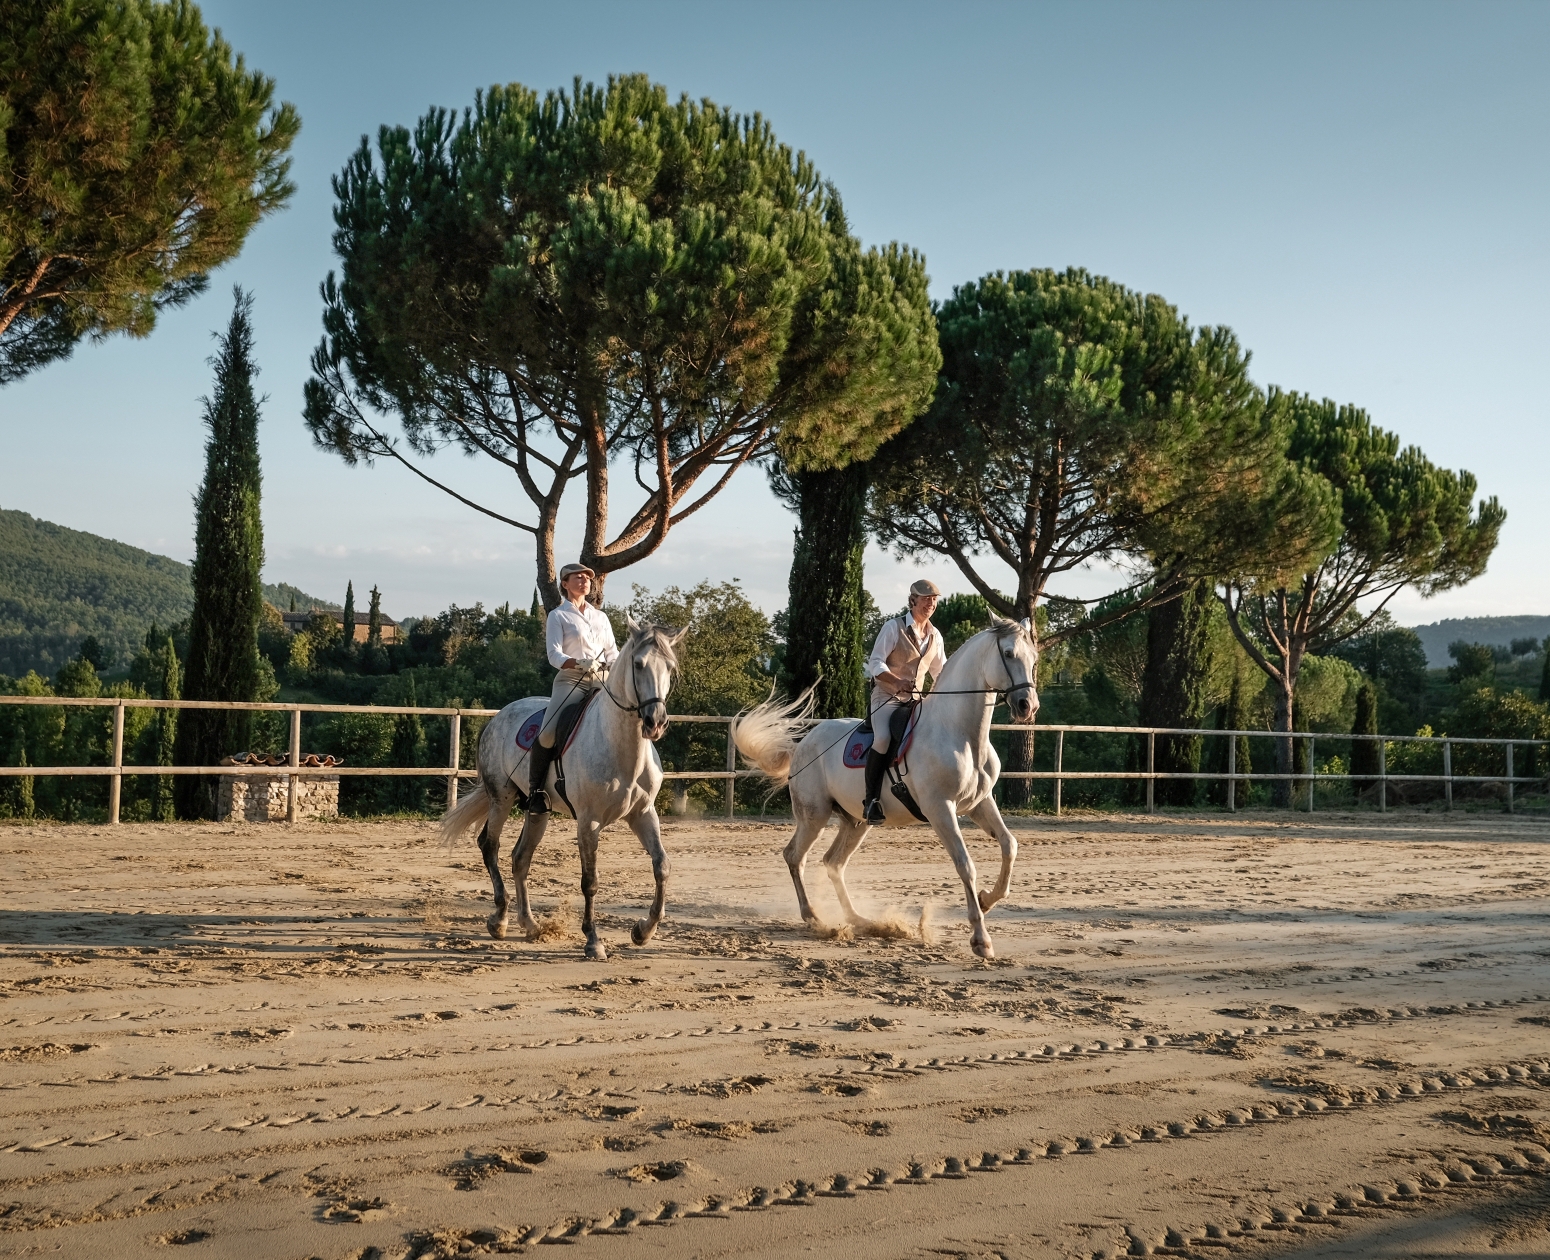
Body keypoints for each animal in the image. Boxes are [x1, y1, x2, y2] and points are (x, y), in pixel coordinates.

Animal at [437, 616, 686, 960]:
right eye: (638, 664)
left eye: (670, 668)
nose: (655, 722)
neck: (620, 744)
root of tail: (499, 716)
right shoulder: (588, 821)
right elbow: (590, 881)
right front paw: (593, 941)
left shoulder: (643, 813)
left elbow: (662, 866)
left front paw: (643, 931)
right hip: (501, 798)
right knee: (490, 845)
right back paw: (499, 919)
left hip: (537, 811)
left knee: (520, 857)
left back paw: (530, 925)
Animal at [731, 616, 1039, 959]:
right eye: (1009, 653)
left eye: (1034, 658)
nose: (1027, 706)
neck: (960, 734)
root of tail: (803, 744)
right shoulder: (940, 809)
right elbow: (965, 864)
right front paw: (981, 939)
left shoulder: (979, 803)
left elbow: (1010, 845)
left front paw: (987, 899)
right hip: (814, 816)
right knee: (795, 856)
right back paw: (812, 916)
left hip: (856, 822)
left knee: (833, 862)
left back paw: (858, 919)